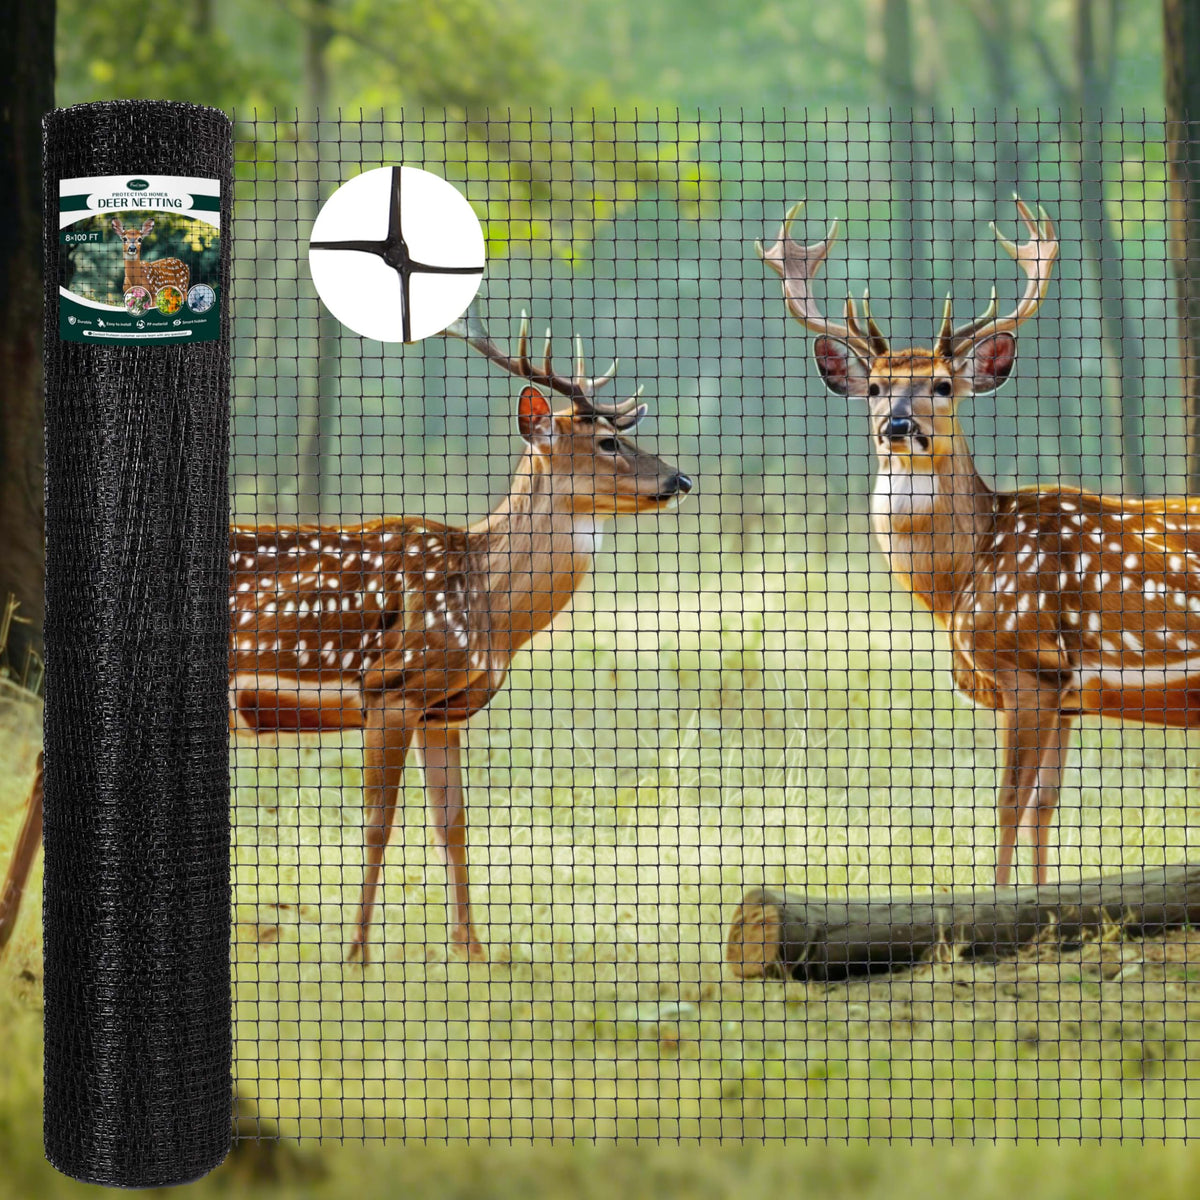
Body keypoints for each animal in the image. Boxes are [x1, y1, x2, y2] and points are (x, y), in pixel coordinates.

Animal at [228, 310, 692, 963]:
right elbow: (378, 824)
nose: (681, 478)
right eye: (608, 442)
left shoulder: (441, 712)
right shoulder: (391, 687)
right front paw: (357, 956)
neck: (487, 610)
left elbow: (453, 824)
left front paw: (472, 951)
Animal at [760, 195, 1200, 889]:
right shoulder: (1065, 693)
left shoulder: (1028, 666)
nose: (897, 426)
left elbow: (1007, 804)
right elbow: (1045, 806)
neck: (963, 576)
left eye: (943, 385)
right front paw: (1040, 899)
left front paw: (994, 898)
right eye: (876, 386)